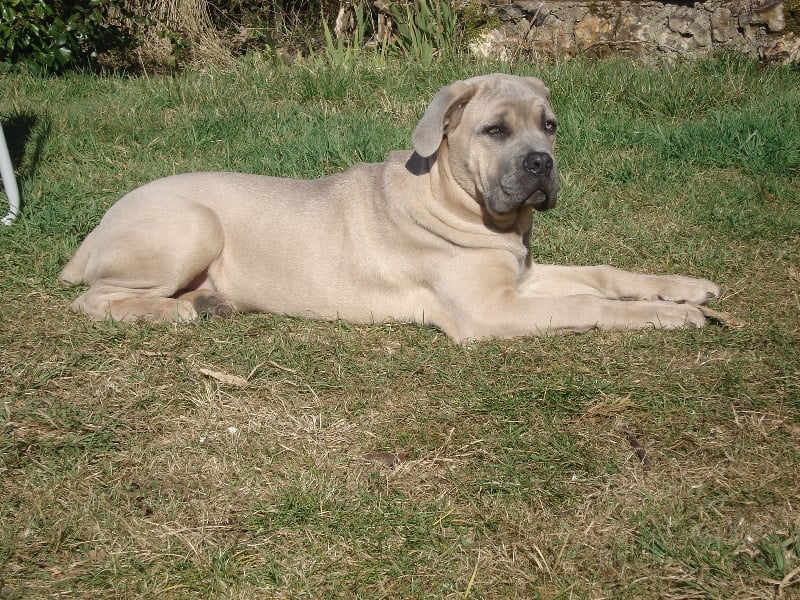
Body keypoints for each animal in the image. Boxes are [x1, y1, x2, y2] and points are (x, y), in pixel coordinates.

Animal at [57, 74, 720, 342]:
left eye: (549, 126)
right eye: (496, 130)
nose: (541, 164)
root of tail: (96, 229)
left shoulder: (521, 277)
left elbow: (604, 275)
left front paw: (686, 289)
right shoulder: (490, 309)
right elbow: (590, 303)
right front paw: (672, 317)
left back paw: (206, 302)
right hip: (194, 226)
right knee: (94, 300)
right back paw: (175, 312)